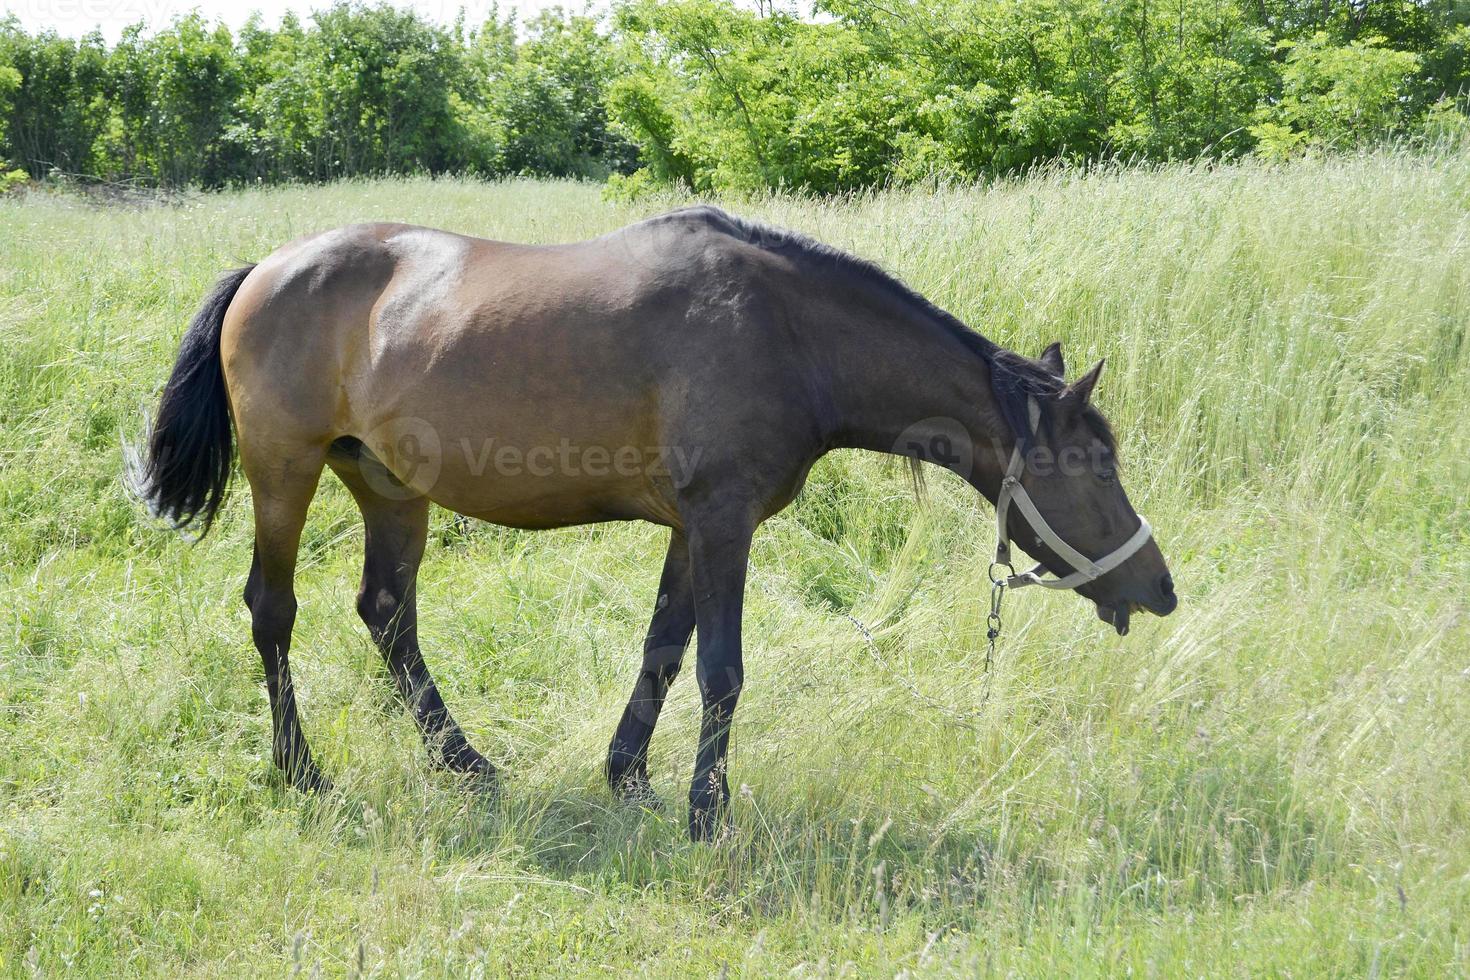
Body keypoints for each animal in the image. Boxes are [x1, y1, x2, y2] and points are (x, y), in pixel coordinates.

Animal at [132, 202, 1176, 840]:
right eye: (1096, 464)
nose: (1159, 587)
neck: (788, 334)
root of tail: (266, 269)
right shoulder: (723, 523)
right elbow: (722, 671)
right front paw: (708, 812)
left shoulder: (692, 528)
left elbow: (664, 651)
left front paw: (627, 774)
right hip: (285, 472)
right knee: (273, 608)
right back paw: (299, 770)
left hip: (389, 488)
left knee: (388, 614)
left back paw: (465, 763)